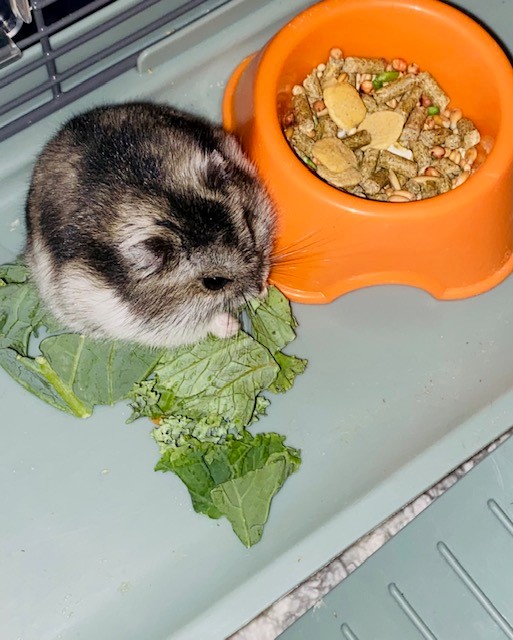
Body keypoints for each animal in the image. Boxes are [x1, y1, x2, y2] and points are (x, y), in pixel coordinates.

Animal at [24, 102, 275, 348]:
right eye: (214, 283)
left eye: (251, 227)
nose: (259, 287)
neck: (168, 210)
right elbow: (202, 324)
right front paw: (232, 326)